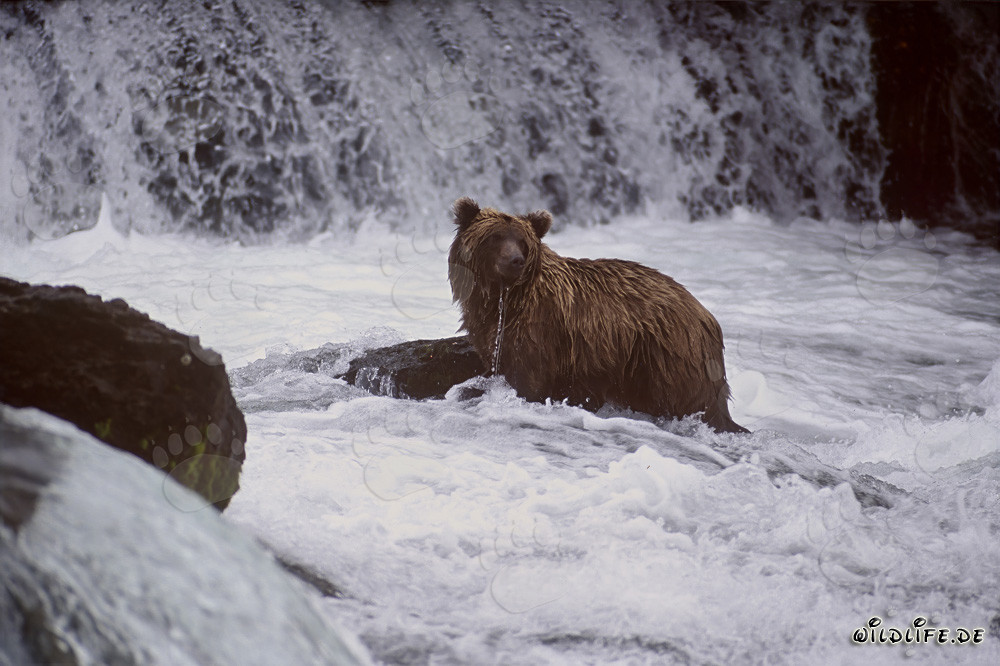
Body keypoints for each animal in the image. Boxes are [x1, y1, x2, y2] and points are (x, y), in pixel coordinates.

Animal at [448, 197, 747, 434]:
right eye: (495, 237)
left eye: (522, 242)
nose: (515, 261)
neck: (504, 299)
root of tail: (705, 315)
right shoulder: (492, 330)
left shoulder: (540, 333)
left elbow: (528, 381)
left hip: (669, 355)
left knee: (690, 401)